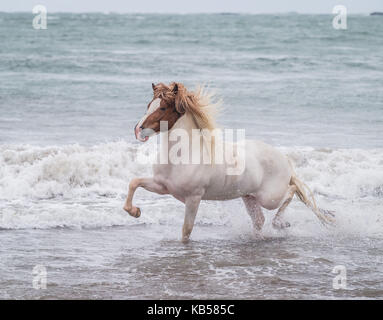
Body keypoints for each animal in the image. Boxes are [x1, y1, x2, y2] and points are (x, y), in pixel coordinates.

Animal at [124, 82, 334, 242]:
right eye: (149, 104)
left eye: (162, 107)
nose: (138, 130)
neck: (183, 155)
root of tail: (284, 159)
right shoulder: (163, 187)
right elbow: (134, 182)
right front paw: (135, 212)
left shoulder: (193, 198)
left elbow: (186, 231)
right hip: (249, 197)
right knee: (259, 220)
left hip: (269, 198)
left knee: (290, 191)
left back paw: (281, 223)